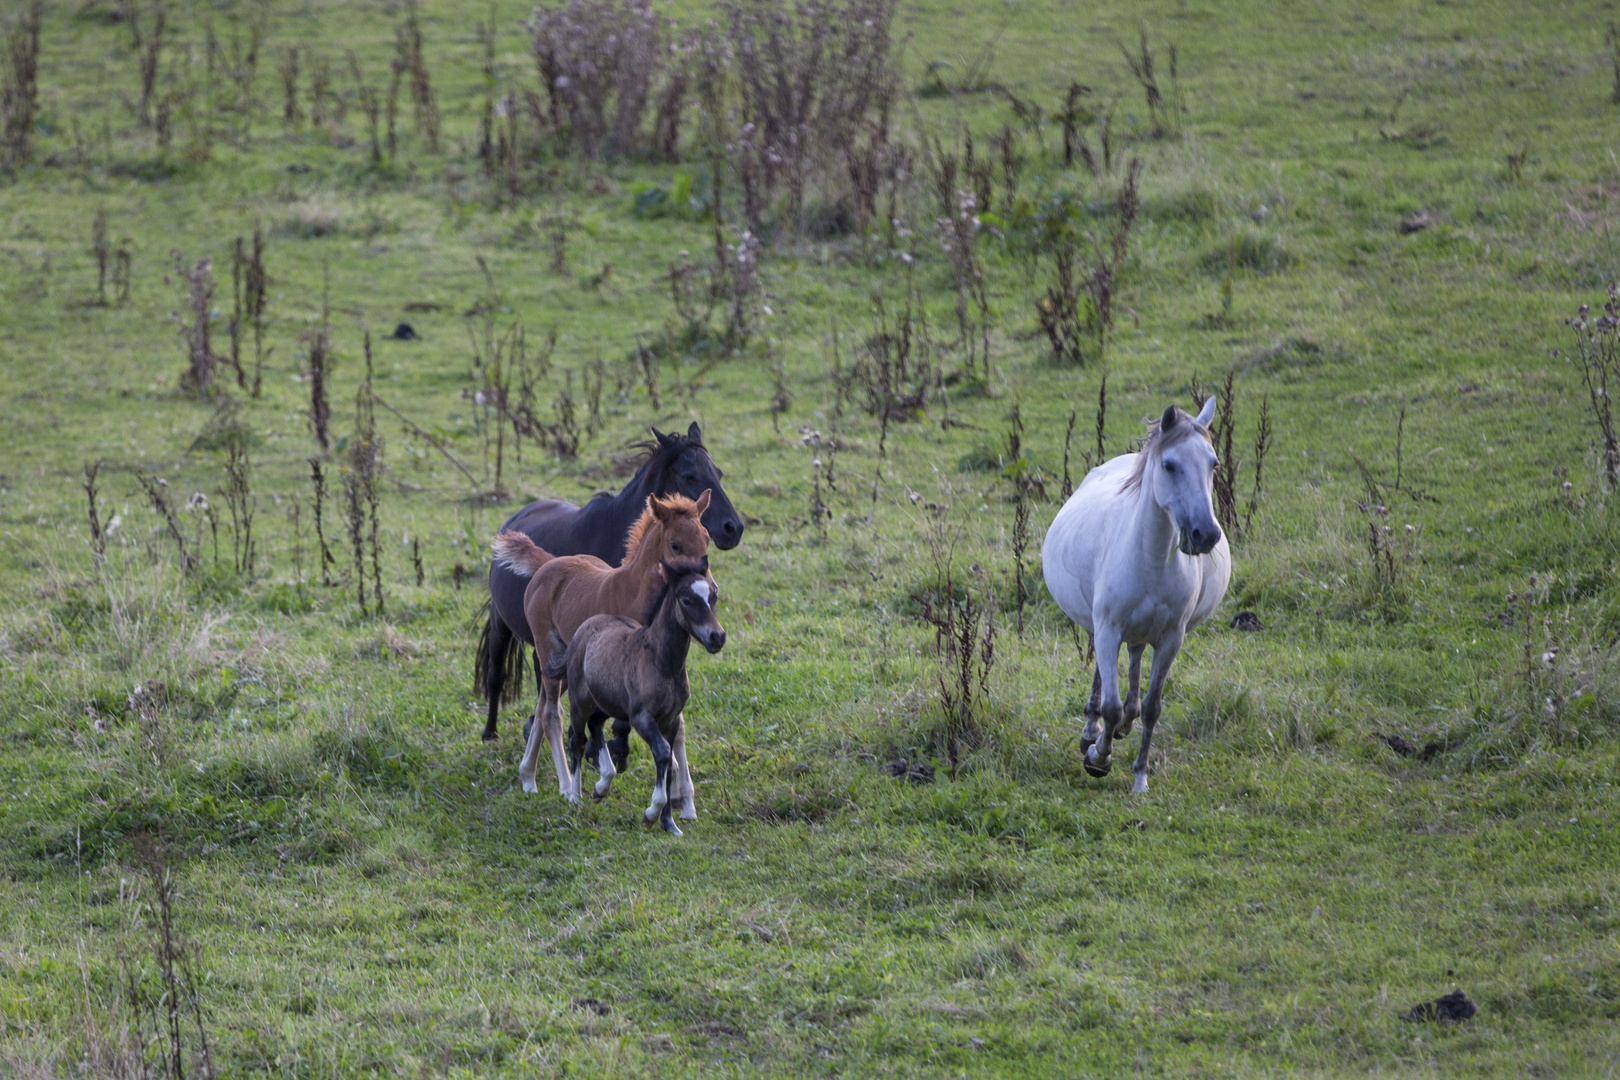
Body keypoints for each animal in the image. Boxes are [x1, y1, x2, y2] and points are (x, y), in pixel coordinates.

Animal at [473, 420, 741, 744]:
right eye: (689, 475)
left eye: (719, 473)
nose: (733, 528)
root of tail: (513, 520)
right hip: (501, 623)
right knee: (497, 673)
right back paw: (490, 731)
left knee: (543, 673)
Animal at [1043, 396, 1231, 793]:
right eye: (1170, 465)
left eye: (1214, 463)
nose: (1205, 534)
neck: (1151, 558)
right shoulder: (1108, 628)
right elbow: (1111, 706)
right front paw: (1098, 758)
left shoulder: (1171, 638)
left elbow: (1152, 707)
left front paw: (1140, 777)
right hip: (1104, 629)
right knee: (1107, 681)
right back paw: (1092, 732)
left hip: (1142, 633)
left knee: (1133, 668)